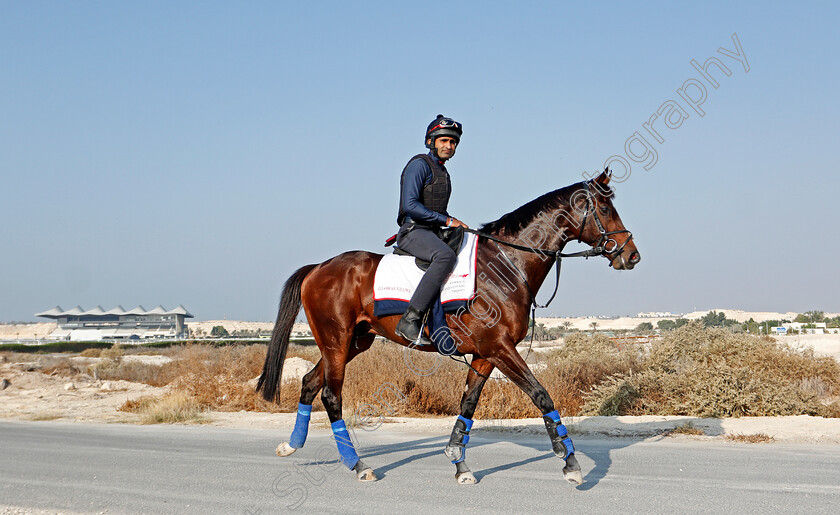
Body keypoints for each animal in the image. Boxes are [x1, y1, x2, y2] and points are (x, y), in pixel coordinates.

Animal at [256, 171, 636, 486]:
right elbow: (541, 395)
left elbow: (467, 406)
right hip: (336, 340)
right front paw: (570, 463)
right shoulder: (500, 348)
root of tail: (318, 267)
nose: (631, 255)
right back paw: (358, 465)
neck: (506, 265)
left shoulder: (485, 355)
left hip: (353, 343)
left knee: (309, 383)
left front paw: (459, 464)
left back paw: (292, 445)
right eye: (604, 207)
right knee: (331, 395)